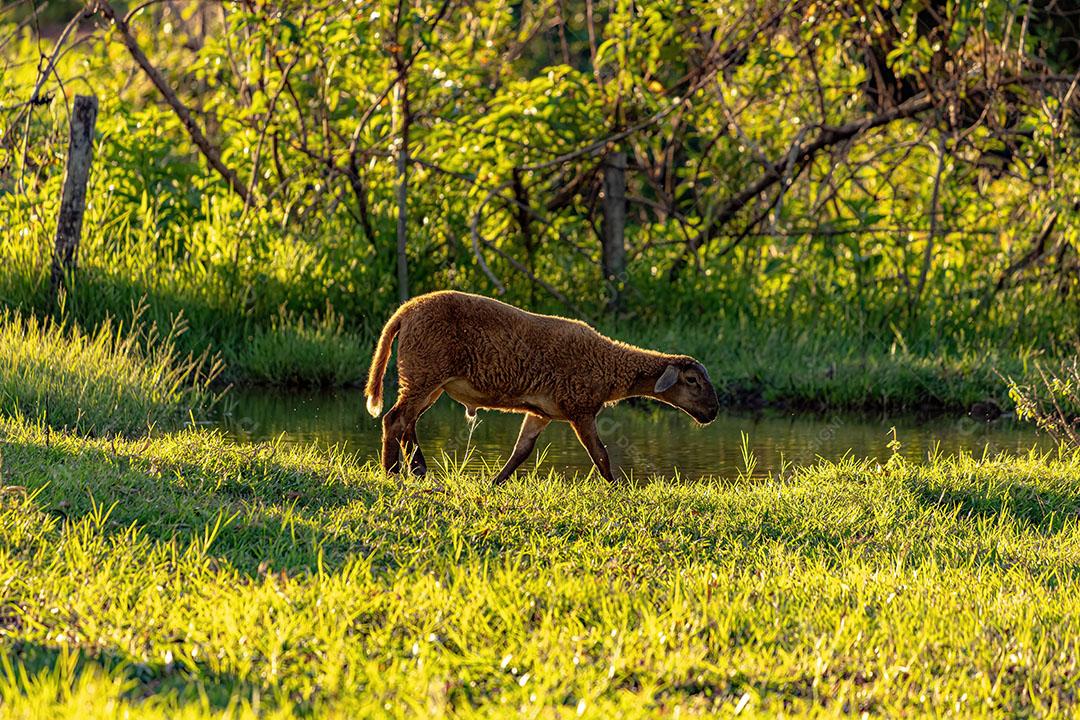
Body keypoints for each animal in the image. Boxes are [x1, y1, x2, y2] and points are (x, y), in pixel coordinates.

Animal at [362, 289, 717, 481]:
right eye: (692, 380)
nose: (713, 412)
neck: (609, 366)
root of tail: (404, 312)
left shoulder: (541, 412)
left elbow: (521, 451)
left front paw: (495, 483)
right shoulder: (580, 409)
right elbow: (600, 454)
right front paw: (618, 489)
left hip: (427, 378)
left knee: (407, 423)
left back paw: (418, 470)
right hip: (423, 373)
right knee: (395, 420)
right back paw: (392, 473)